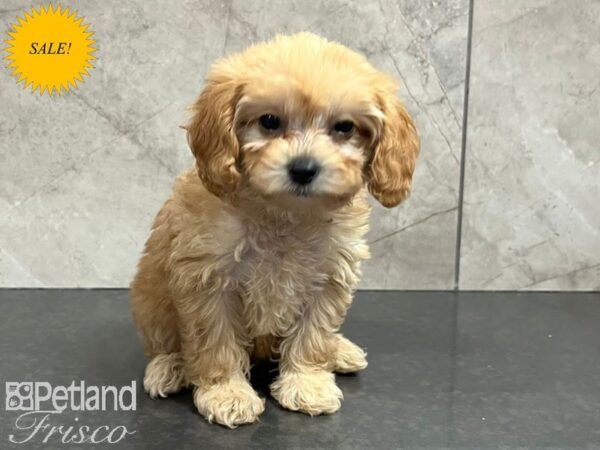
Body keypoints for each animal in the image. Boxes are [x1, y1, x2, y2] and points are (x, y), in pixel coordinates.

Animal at [129, 32, 420, 428]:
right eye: (269, 121)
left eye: (344, 127)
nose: (303, 168)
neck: (285, 215)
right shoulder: (207, 280)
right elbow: (215, 343)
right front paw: (226, 392)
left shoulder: (330, 276)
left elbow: (314, 335)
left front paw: (308, 383)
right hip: (151, 300)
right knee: (162, 342)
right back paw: (170, 367)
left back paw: (340, 350)